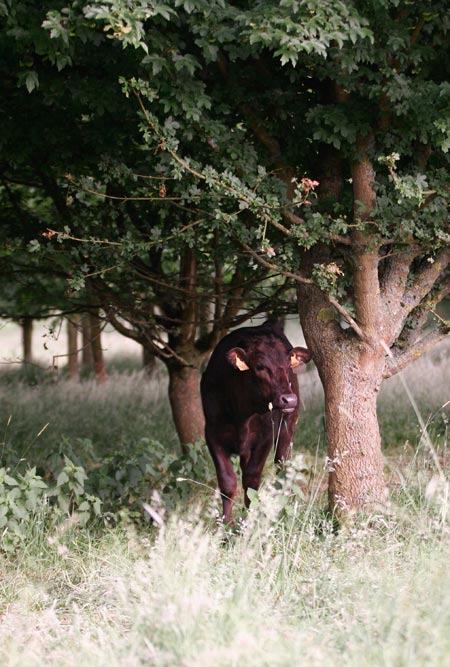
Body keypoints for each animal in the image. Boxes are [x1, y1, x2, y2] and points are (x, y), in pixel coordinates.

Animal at [201, 320, 312, 524]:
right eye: (260, 366)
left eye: (288, 365)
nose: (289, 399)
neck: (241, 413)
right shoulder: (212, 434)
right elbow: (227, 482)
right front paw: (226, 524)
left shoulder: (265, 436)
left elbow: (252, 481)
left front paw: (249, 520)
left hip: (287, 427)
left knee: (282, 467)